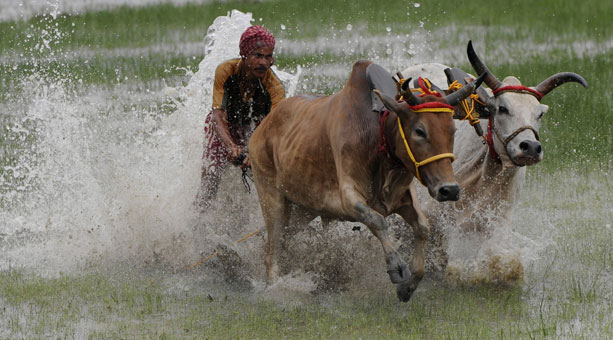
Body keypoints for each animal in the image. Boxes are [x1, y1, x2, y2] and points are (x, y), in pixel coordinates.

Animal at [247, 60, 482, 300]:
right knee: (273, 249)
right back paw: (275, 288)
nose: (449, 190)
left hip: (303, 209)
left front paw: (408, 286)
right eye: (420, 130)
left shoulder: (403, 197)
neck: (376, 135)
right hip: (272, 198)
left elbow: (423, 227)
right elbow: (378, 221)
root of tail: (263, 127)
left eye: (452, 130)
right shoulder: (348, 198)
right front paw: (397, 267)